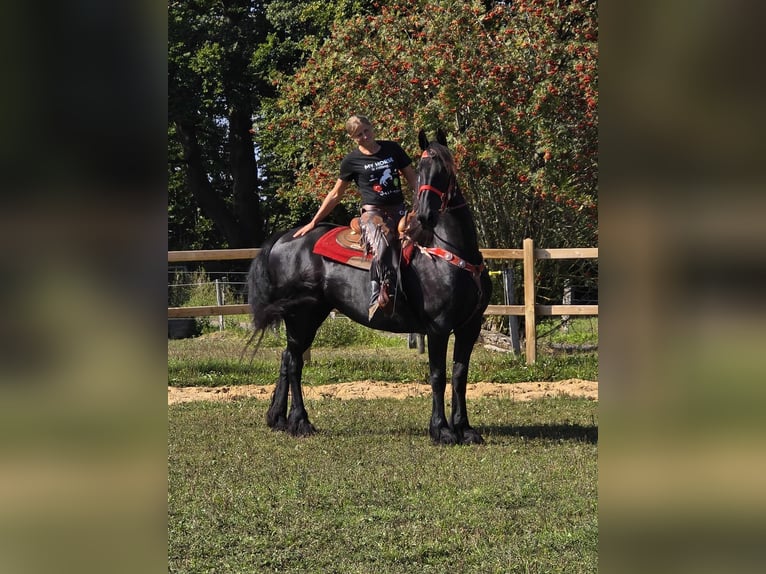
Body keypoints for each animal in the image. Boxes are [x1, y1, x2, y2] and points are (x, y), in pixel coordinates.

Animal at [249, 130, 496, 446]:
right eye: (421, 169)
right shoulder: (438, 327)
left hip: (312, 315)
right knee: (294, 363)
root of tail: (285, 238)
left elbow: (459, 375)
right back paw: (300, 422)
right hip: (300, 316)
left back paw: (279, 418)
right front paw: (441, 430)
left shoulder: (470, 326)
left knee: (286, 358)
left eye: (444, 170)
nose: (425, 216)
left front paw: (464, 428)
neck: (450, 253)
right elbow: (438, 375)